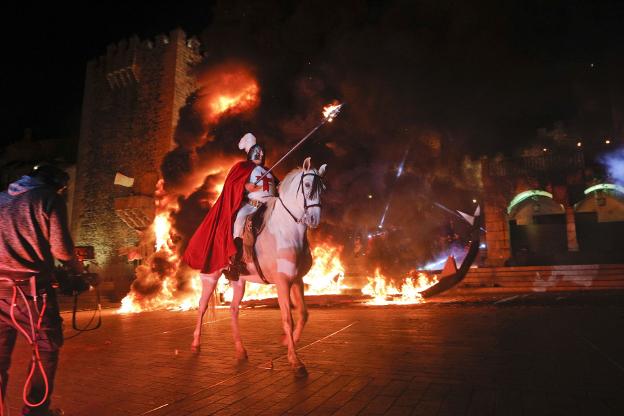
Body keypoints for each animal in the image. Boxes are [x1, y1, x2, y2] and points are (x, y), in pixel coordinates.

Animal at [190, 158, 326, 376]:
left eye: (323, 188)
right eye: (306, 185)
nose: (313, 219)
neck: (286, 230)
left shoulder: (297, 280)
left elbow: (303, 314)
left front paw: (288, 343)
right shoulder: (282, 282)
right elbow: (288, 319)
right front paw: (295, 361)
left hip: (239, 281)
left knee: (233, 310)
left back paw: (240, 350)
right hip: (210, 276)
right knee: (202, 307)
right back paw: (195, 344)